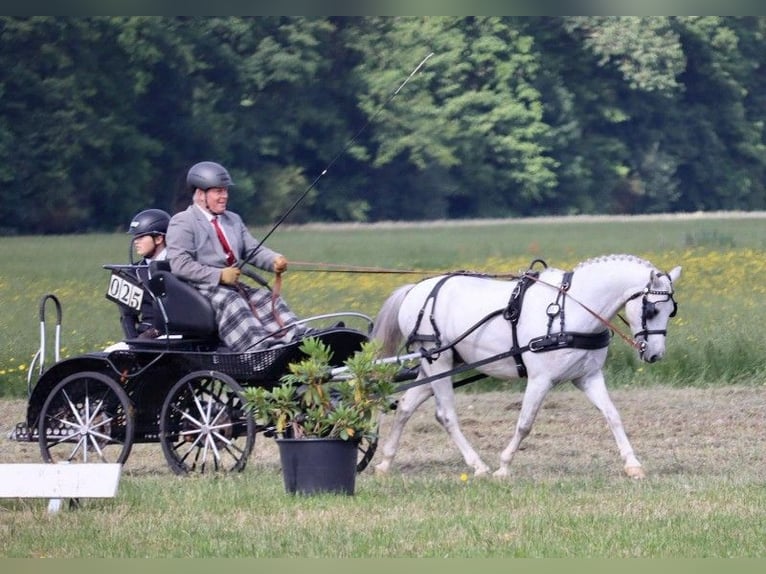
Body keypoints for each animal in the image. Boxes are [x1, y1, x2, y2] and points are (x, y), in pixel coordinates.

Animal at [374, 254, 684, 480]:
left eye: (671, 311)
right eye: (652, 310)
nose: (655, 354)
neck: (572, 309)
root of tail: (415, 289)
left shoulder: (587, 377)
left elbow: (613, 416)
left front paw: (633, 464)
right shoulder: (540, 379)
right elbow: (525, 423)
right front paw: (503, 466)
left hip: (438, 365)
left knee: (406, 406)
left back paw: (385, 462)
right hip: (438, 361)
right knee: (446, 415)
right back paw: (478, 465)